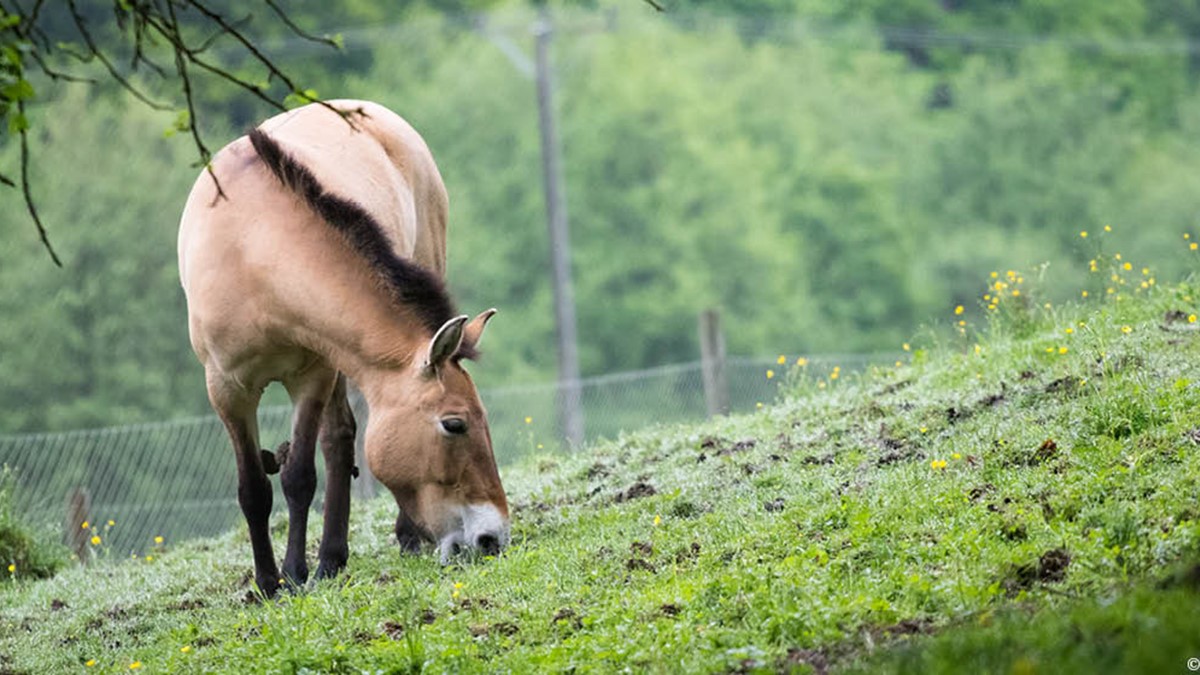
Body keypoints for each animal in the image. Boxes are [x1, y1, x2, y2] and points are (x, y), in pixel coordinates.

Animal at [176, 98, 506, 593]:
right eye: (455, 424)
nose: (493, 539)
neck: (253, 250)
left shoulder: (311, 375)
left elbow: (299, 475)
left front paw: (295, 574)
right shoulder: (227, 389)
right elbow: (253, 487)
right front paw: (268, 584)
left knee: (337, 441)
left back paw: (361, 549)